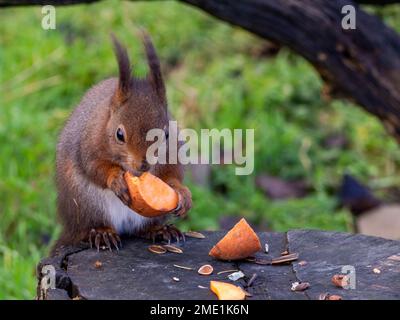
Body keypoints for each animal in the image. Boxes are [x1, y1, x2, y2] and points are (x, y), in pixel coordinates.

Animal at [52, 32, 192, 252]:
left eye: (167, 135)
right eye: (119, 134)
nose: (143, 165)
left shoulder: (173, 153)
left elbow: (172, 174)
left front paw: (183, 193)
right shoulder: (88, 145)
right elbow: (94, 167)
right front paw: (115, 179)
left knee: (142, 228)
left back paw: (160, 230)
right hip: (86, 203)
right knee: (90, 227)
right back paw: (102, 234)